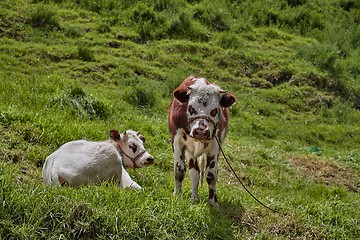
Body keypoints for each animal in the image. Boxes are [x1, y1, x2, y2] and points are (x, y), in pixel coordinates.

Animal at [168, 76, 236, 206]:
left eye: (215, 110)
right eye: (190, 108)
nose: (200, 131)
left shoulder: (215, 146)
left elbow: (211, 175)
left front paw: (213, 203)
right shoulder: (177, 140)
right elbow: (179, 170)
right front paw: (176, 195)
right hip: (190, 151)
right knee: (194, 172)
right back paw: (194, 197)